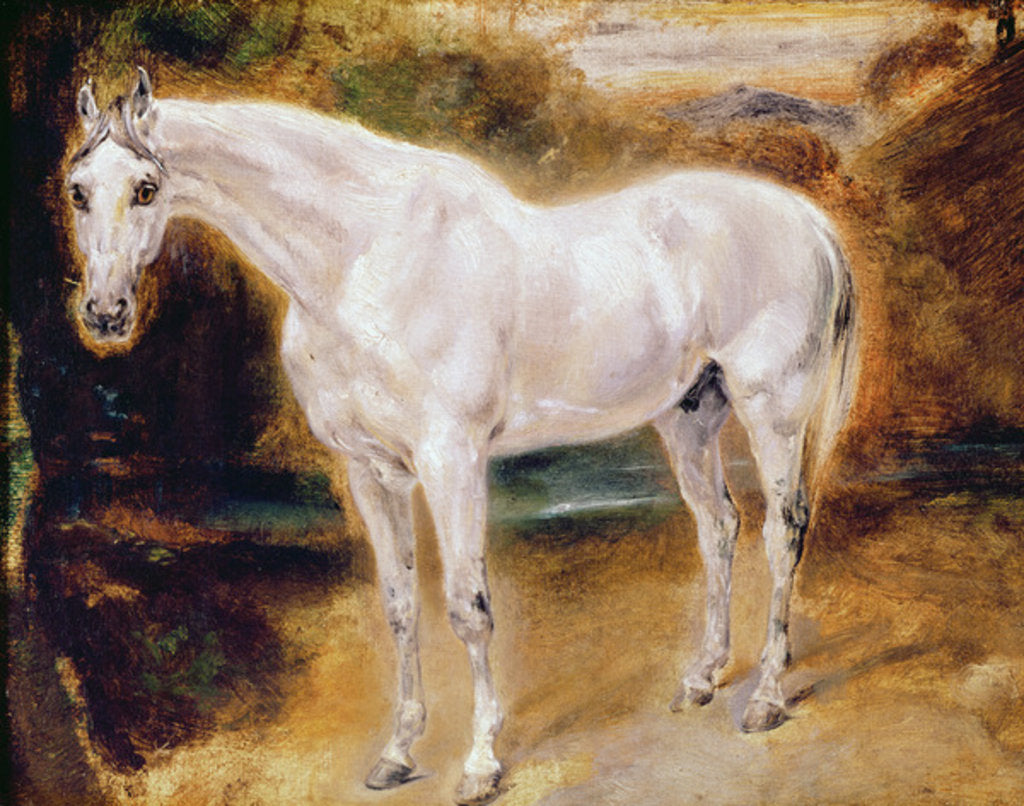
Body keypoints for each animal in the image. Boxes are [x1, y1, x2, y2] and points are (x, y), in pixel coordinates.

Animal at [65, 68, 857, 805]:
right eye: (77, 190)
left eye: (145, 188)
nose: (105, 313)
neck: (364, 260)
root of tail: (808, 222)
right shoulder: (370, 471)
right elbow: (398, 605)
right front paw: (396, 754)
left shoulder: (453, 460)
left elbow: (468, 608)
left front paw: (480, 765)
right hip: (690, 414)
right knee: (718, 527)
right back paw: (700, 679)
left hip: (772, 409)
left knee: (781, 532)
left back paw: (765, 699)